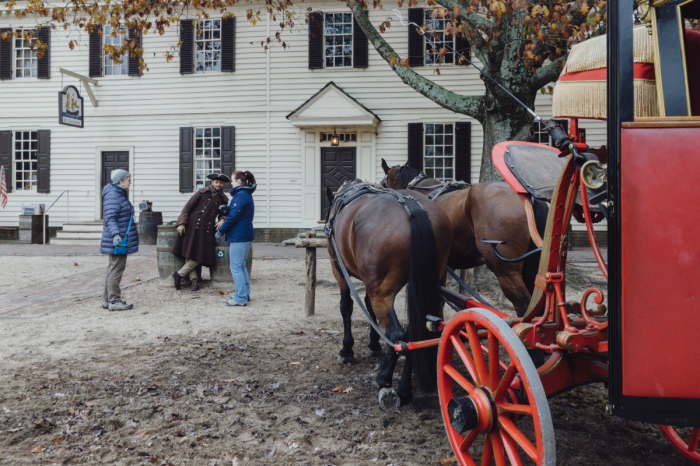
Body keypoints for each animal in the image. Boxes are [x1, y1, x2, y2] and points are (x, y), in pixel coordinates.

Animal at [330, 180, 454, 406]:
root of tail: (412, 207)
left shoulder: (338, 269)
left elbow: (346, 307)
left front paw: (347, 349)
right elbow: (368, 308)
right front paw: (373, 345)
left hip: (381, 292)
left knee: (397, 335)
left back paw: (384, 380)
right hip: (434, 284)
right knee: (415, 333)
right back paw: (405, 389)